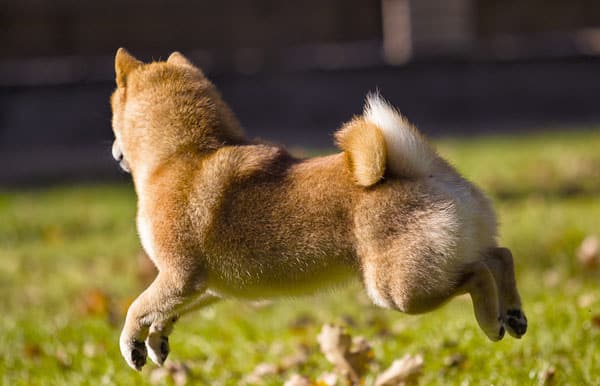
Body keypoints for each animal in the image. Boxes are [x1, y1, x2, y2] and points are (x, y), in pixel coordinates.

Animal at [111, 49, 524, 370]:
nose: (115, 152)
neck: (181, 155)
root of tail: (426, 171)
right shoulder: (204, 287)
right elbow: (164, 312)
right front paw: (156, 340)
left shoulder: (180, 276)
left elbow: (136, 307)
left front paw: (131, 342)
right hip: (438, 263)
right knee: (500, 255)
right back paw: (513, 314)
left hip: (399, 291)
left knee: (478, 272)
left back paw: (491, 321)